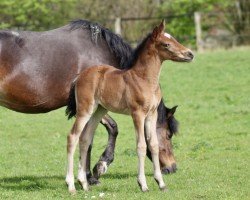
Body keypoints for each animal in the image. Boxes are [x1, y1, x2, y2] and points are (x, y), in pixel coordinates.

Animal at [65, 19, 193, 192]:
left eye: (174, 39)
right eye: (166, 44)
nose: (190, 54)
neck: (144, 79)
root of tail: (79, 77)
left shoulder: (151, 114)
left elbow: (153, 144)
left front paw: (161, 183)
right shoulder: (138, 113)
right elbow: (141, 146)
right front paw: (143, 184)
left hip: (99, 110)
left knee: (85, 138)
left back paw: (84, 183)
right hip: (85, 109)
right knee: (73, 137)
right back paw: (71, 185)